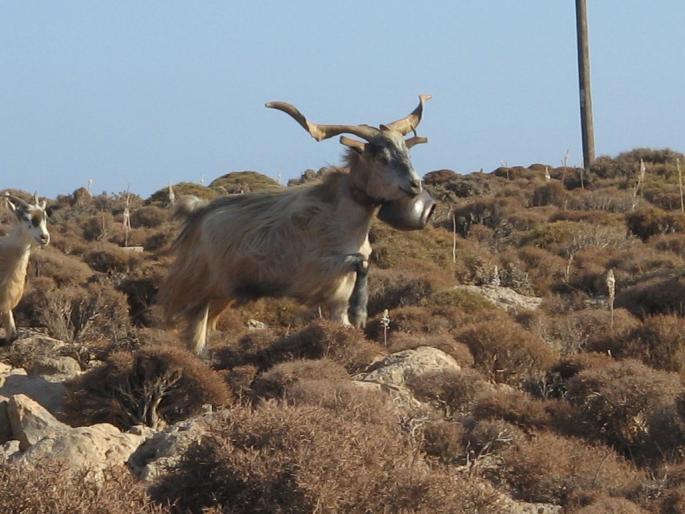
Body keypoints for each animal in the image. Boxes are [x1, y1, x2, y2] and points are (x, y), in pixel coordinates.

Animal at [158, 95, 430, 352]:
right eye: (382, 157)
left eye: (407, 153)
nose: (415, 184)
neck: (343, 219)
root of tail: (198, 213)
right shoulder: (312, 271)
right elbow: (360, 263)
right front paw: (360, 312)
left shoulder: (336, 295)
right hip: (199, 285)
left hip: (220, 295)